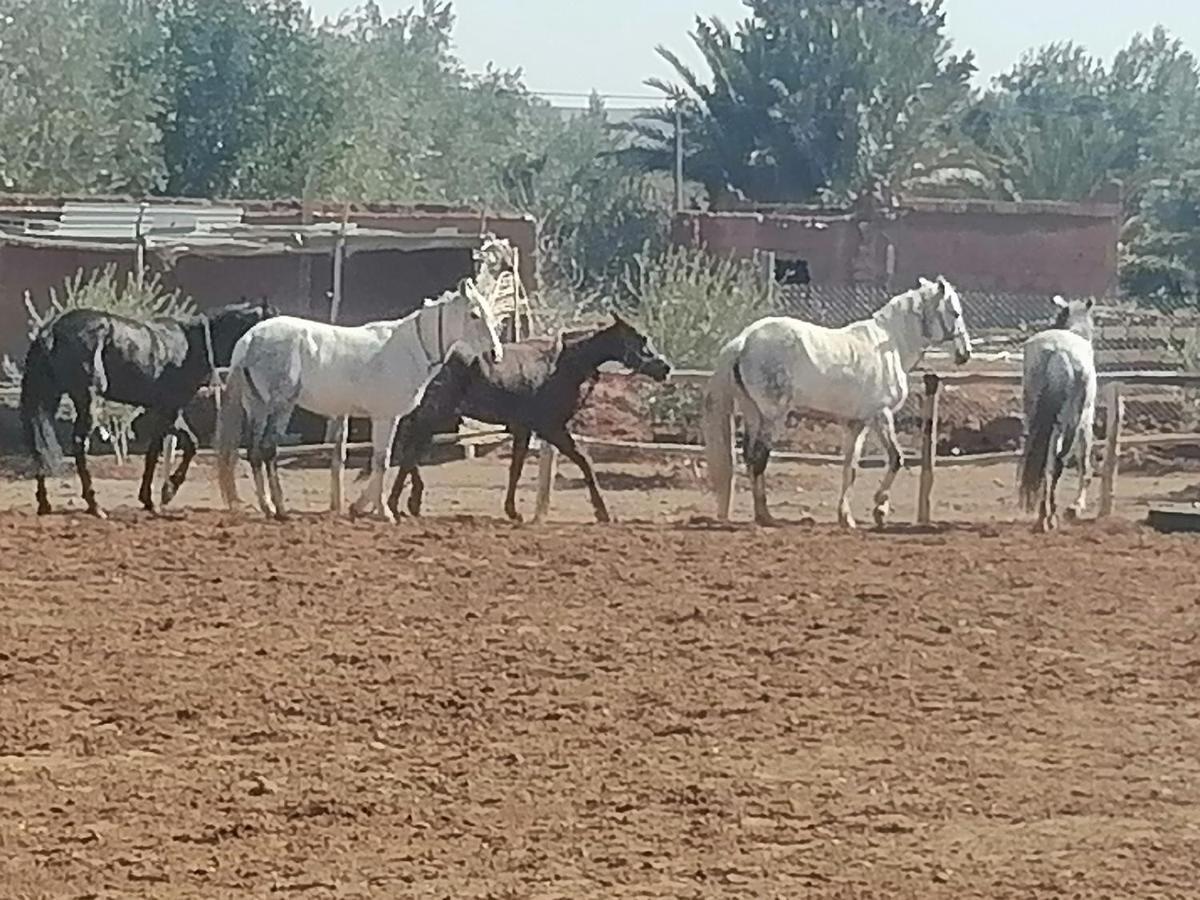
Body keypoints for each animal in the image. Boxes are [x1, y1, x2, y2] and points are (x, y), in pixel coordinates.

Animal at [21, 301, 276, 518]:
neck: (190, 344)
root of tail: (51, 330)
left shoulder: (167, 409)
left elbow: (188, 443)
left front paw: (163, 492)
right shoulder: (168, 409)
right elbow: (156, 452)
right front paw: (157, 497)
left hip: (49, 398)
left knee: (39, 444)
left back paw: (44, 503)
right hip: (87, 400)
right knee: (78, 444)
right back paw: (94, 505)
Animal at [216, 282, 501, 520]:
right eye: (474, 315)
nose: (495, 354)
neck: (410, 348)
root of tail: (250, 339)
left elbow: (385, 459)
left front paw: (360, 507)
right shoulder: (385, 417)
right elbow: (382, 460)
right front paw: (384, 511)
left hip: (257, 407)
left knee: (254, 452)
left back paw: (267, 506)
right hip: (280, 407)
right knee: (267, 450)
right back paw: (279, 509)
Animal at [374, 314, 672, 520]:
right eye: (639, 339)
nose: (664, 367)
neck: (560, 366)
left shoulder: (523, 429)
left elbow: (516, 468)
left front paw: (512, 510)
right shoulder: (551, 428)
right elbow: (584, 462)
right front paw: (602, 512)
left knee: (407, 449)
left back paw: (408, 502)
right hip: (433, 413)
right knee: (408, 450)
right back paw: (398, 503)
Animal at [705, 274, 969, 528]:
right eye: (955, 313)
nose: (965, 354)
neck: (891, 346)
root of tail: (743, 340)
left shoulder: (856, 423)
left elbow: (850, 468)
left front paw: (846, 518)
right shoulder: (881, 415)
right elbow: (896, 459)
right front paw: (879, 510)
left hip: (753, 413)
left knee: (751, 458)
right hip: (772, 416)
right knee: (759, 459)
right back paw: (765, 517)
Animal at [1012, 296, 1099, 535]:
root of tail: (1058, 351)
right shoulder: (1085, 423)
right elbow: (1084, 464)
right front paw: (1076, 507)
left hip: (1035, 417)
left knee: (1043, 461)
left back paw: (1043, 517)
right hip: (1071, 422)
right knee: (1058, 462)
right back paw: (1050, 517)